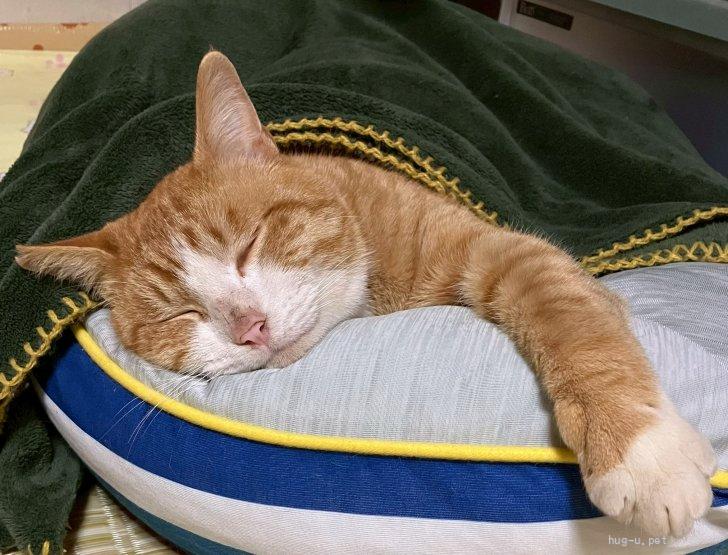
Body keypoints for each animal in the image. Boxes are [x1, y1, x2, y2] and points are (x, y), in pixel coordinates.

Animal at [16, 51, 716, 538]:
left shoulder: (505, 252)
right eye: (178, 313)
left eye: (250, 243)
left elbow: (572, 319)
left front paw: (641, 452)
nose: (250, 327)